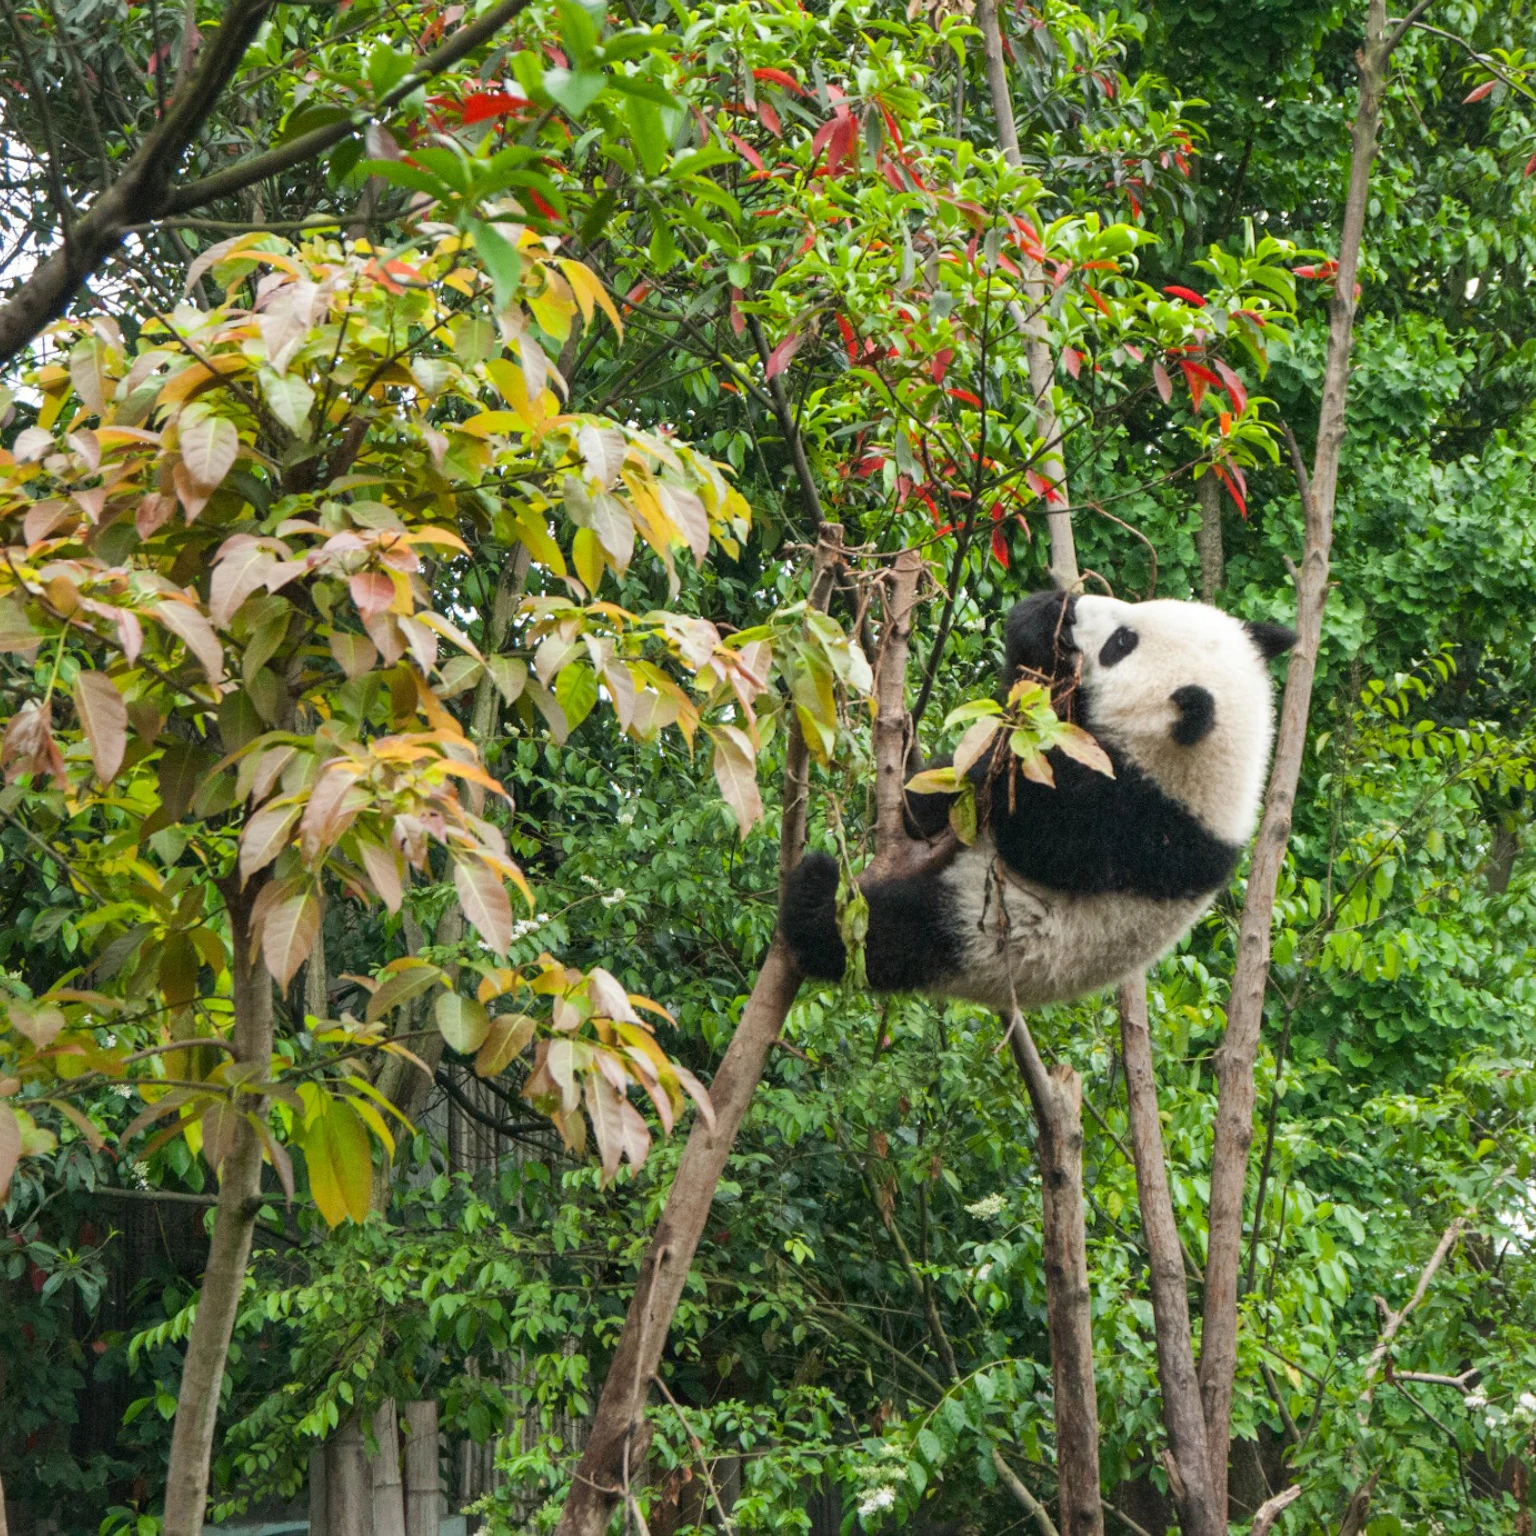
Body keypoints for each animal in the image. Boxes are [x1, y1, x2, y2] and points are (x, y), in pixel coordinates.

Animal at [779, 590, 1296, 1012]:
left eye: (1122, 643)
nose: (1078, 606)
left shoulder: (1143, 828)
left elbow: (1038, 834)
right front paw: (1041, 618)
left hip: (980, 936)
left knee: (888, 935)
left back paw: (814, 896)